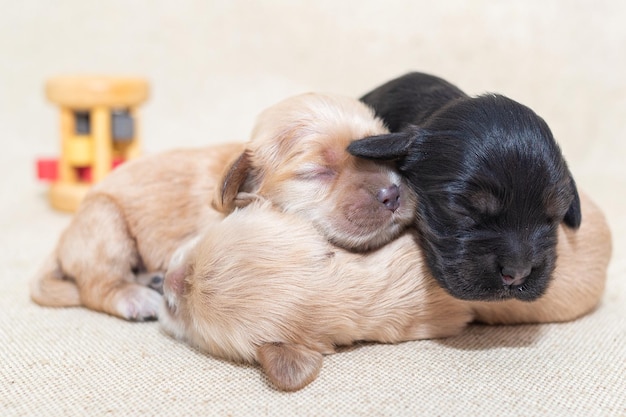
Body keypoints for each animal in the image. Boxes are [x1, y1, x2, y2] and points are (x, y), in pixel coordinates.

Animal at [31, 93, 416, 318]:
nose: (392, 194)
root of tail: (61, 244)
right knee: (95, 286)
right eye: (318, 172)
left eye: (389, 156)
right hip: (104, 223)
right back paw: (136, 298)